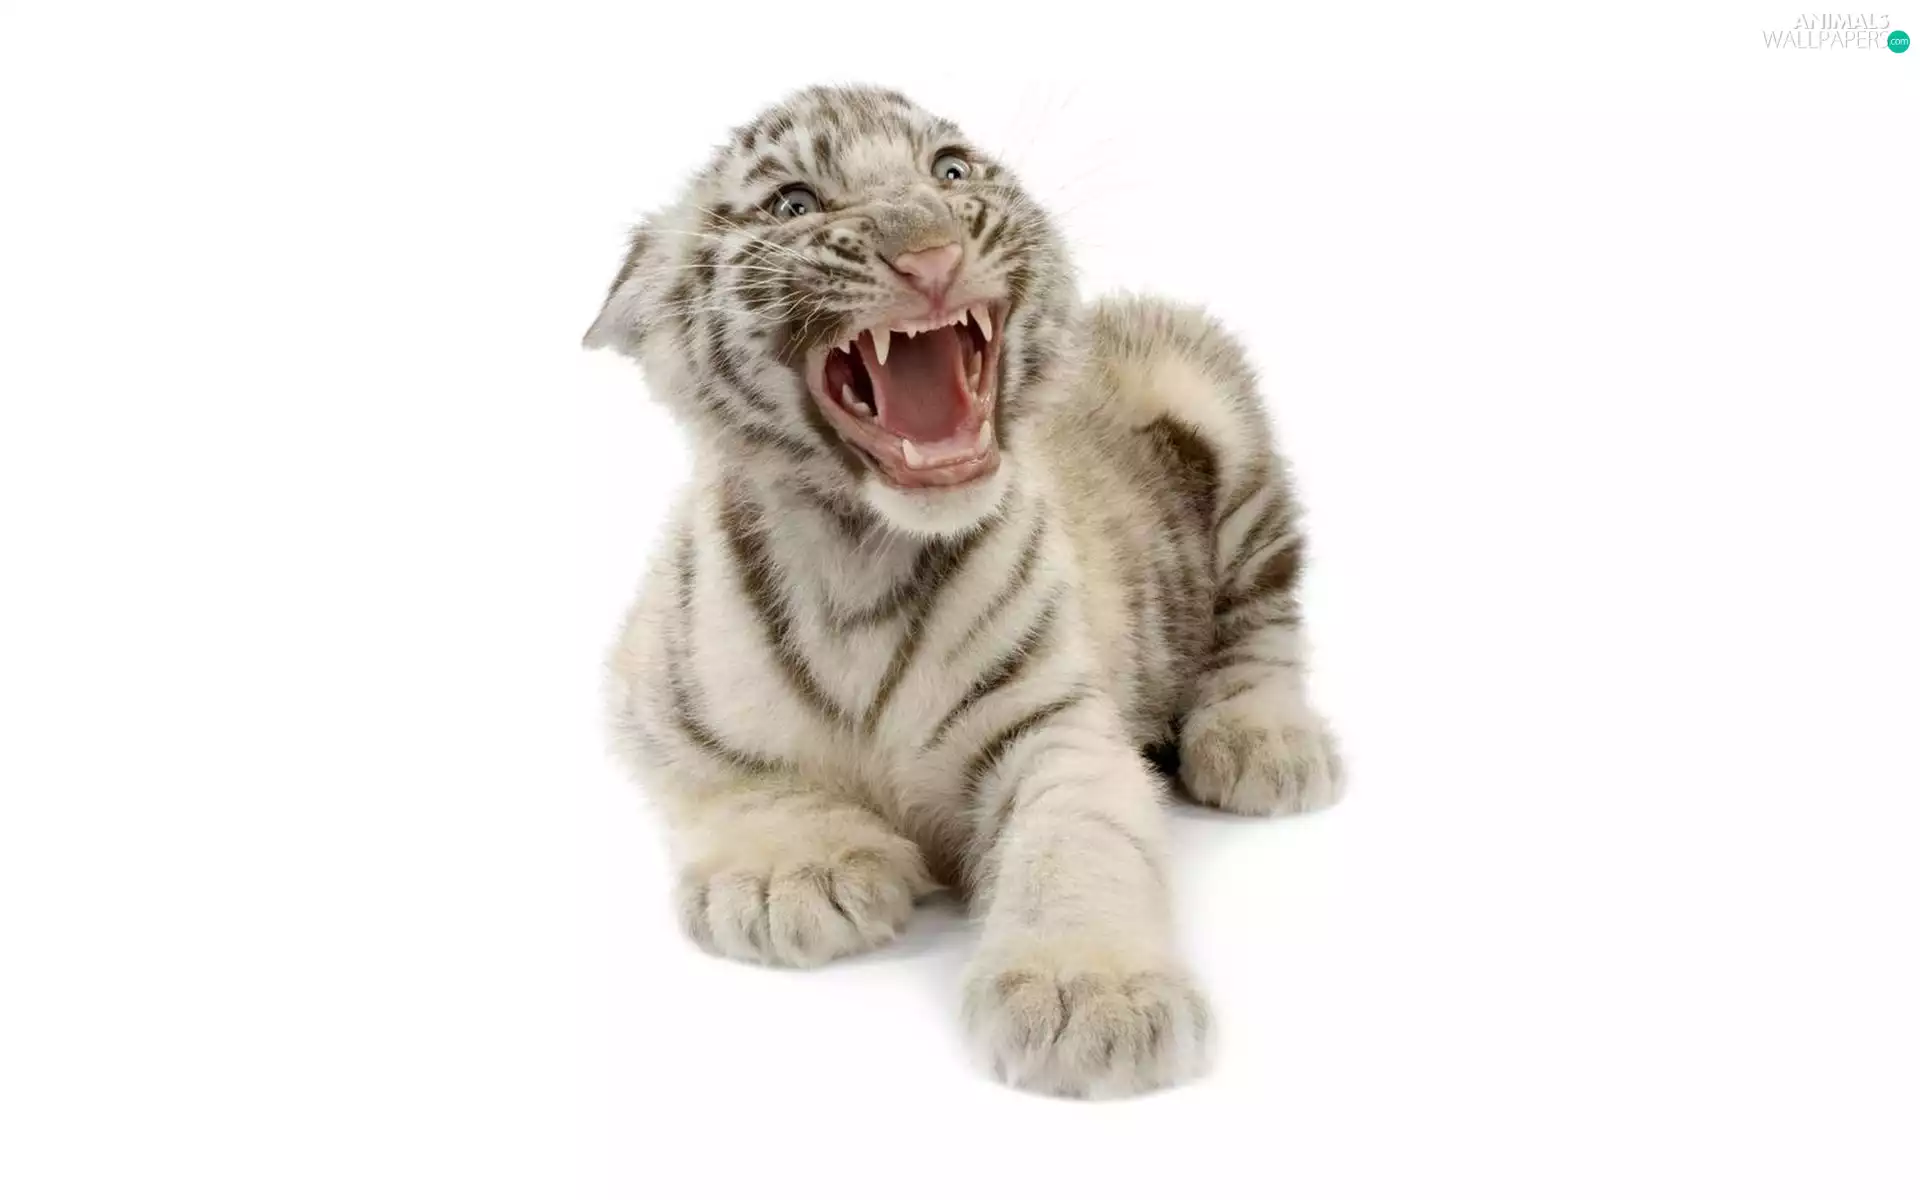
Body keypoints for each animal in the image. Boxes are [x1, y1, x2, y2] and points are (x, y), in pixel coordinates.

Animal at [582, 83, 1345, 1100]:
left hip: (1210, 402)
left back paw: (1264, 744)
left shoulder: (1055, 722)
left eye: (950, 171)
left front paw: (1089, 996)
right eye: (794, 202)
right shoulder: (648, 691)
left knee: (1264, 617)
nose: (931, 252)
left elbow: (1080, 840)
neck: (861, 554)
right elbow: (726, 776)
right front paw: (795, 874)